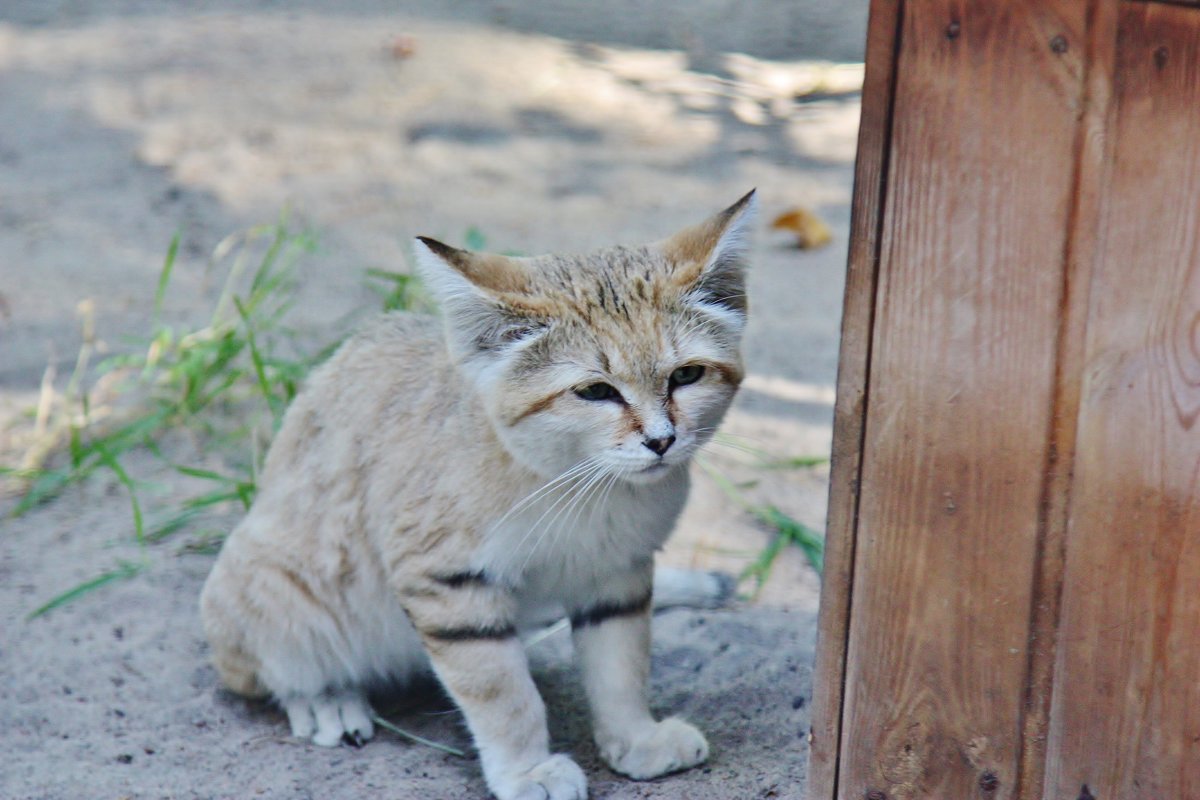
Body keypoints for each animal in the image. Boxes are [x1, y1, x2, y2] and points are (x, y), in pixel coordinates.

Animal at [200, 189, 753, 800]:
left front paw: (634, 738)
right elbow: (503, 694)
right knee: (265, 668)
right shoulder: (447, 583)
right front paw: (527, 771)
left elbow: (622, 667)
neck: (578, 482)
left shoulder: (617, 573)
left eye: (687, 376)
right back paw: (326, 700)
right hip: (276, 592)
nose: (661, 441)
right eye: (595, 391)